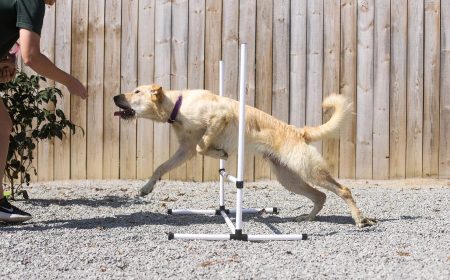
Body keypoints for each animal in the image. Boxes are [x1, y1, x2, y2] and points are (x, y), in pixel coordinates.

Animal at [112, 85, 376, 228]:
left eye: (136, 91)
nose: (114, 97)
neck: (178, 104)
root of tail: (298, 131)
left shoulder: (219, 118)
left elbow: (202, 146)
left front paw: (219, 151)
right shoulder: (183, 150)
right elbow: (161, 167)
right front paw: (146, 188)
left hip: (310, 171)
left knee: (343, 190)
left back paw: (359, 220)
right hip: (290, 179)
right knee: (320, 196)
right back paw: (306, 219)